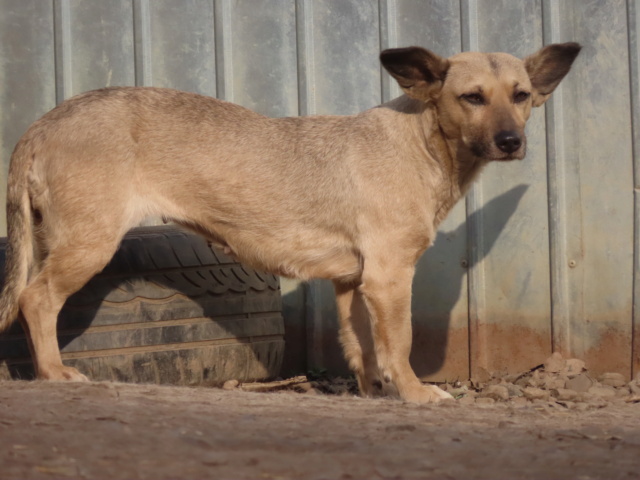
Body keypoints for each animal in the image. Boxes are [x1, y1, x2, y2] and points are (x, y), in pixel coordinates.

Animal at [0, 43, 580, 404]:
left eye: (521, 95)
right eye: (472, 97)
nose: (511, 142)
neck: (422, 142)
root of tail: (43, 123)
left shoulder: (352, 283)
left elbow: (362, 348)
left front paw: (376, 392)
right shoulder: (390, 277)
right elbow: (400, 343)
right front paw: (416, 393)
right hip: (88, 245)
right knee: (36, 300)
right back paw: (53, 374)